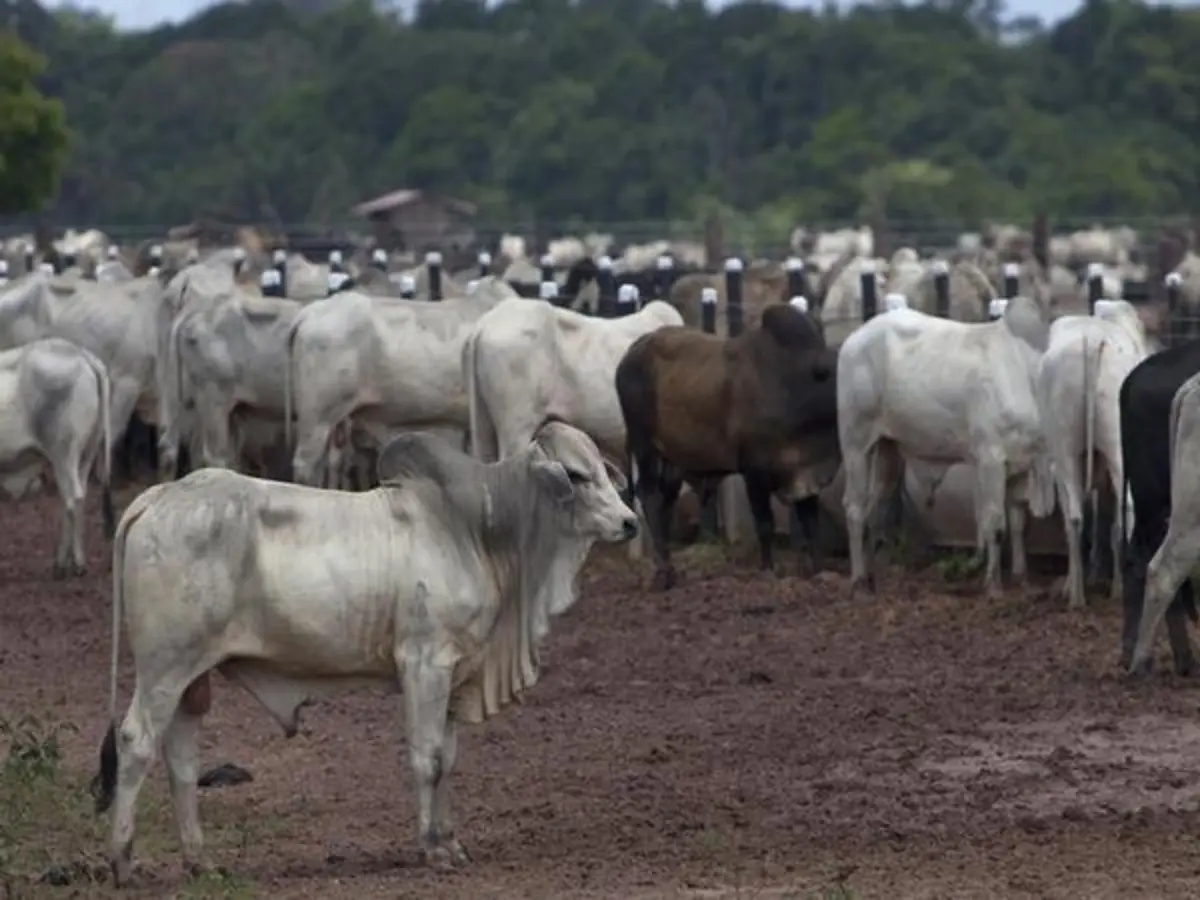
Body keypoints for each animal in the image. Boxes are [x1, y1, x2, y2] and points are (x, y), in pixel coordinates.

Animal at [0, 338, 114, 576]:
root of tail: (81, 354)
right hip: (85, 453)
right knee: (74, 499)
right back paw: (66, 561)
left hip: (63, 452)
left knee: (73, 497)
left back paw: (72, 564)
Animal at [89, 421, 637, 886]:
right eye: (576, 475)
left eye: (601, 468)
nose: (631, 522)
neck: (476, 530)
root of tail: (159, 495)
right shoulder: (424, 664)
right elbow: (427, 758)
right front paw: (430, 848)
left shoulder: (454, 672)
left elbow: (449, 760)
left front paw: (451, 842)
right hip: (165, 668)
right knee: (136, 742)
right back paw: (122, 861)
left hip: (192, 678)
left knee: (181, 759)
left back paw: (199, 861)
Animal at [616, 304, 840, 590]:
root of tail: (631, 353)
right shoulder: (755, 471)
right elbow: (764, 522)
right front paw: (767, 569)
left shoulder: (804, 474)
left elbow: (812, 527)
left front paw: (820, 573)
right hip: (644, 445)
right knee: (650, 497)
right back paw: (665, 570)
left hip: (673, 460)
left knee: (666, 500)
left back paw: (665, 566)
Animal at [838, 296, 1055, 599]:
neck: (1028, 373)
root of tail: (854, 339)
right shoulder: (991, 460)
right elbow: (995, 523)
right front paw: (994, 587)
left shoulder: (1021, 465)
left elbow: (1018, 524)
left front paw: (1022, 580)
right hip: (857, 445)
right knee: (855, 508)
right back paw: (858, 581)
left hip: (888, 451)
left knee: (873, 510)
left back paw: (872, 579)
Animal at [1035, 300, 1153, 609]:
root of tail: (1093, 341)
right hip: (1114, 447)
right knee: (1120, 513)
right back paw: (1113, 589)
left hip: (1067, 451)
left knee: (1077, 517)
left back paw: (1078, 596)